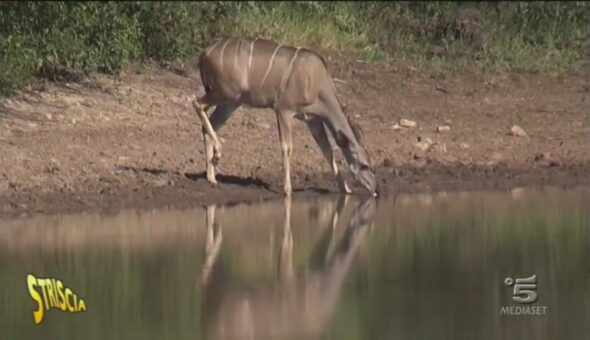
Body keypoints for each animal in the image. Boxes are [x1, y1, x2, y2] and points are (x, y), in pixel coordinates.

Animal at [194, 36, 380, 197]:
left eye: (371, 164)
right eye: (364, 165)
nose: (375, 189)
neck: (317, 82)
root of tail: (205, 52)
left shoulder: (313, 120)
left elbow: (327, 151)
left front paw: (346, 189)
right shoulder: (284, 109)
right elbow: (287, 147)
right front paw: (288, 190)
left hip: (231, 101)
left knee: (209, 124)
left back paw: (211, 177)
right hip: (225, 93)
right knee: (196, 103)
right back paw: (217, 154)